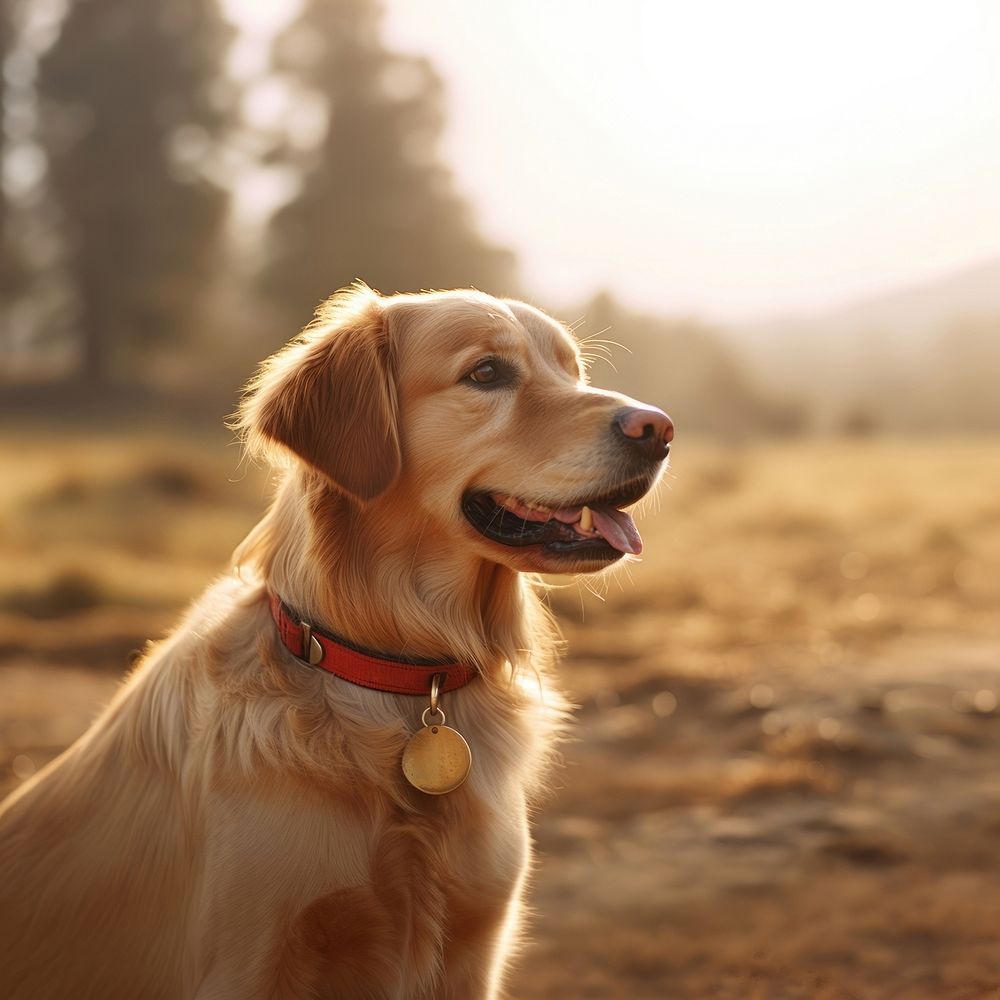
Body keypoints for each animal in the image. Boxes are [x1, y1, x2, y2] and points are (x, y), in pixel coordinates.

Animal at [1, 284, 672, 1000]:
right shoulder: (250, 960)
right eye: (487, 373)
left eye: (574, 372)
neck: (401, 677)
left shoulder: (475, 944)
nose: (659, 429)